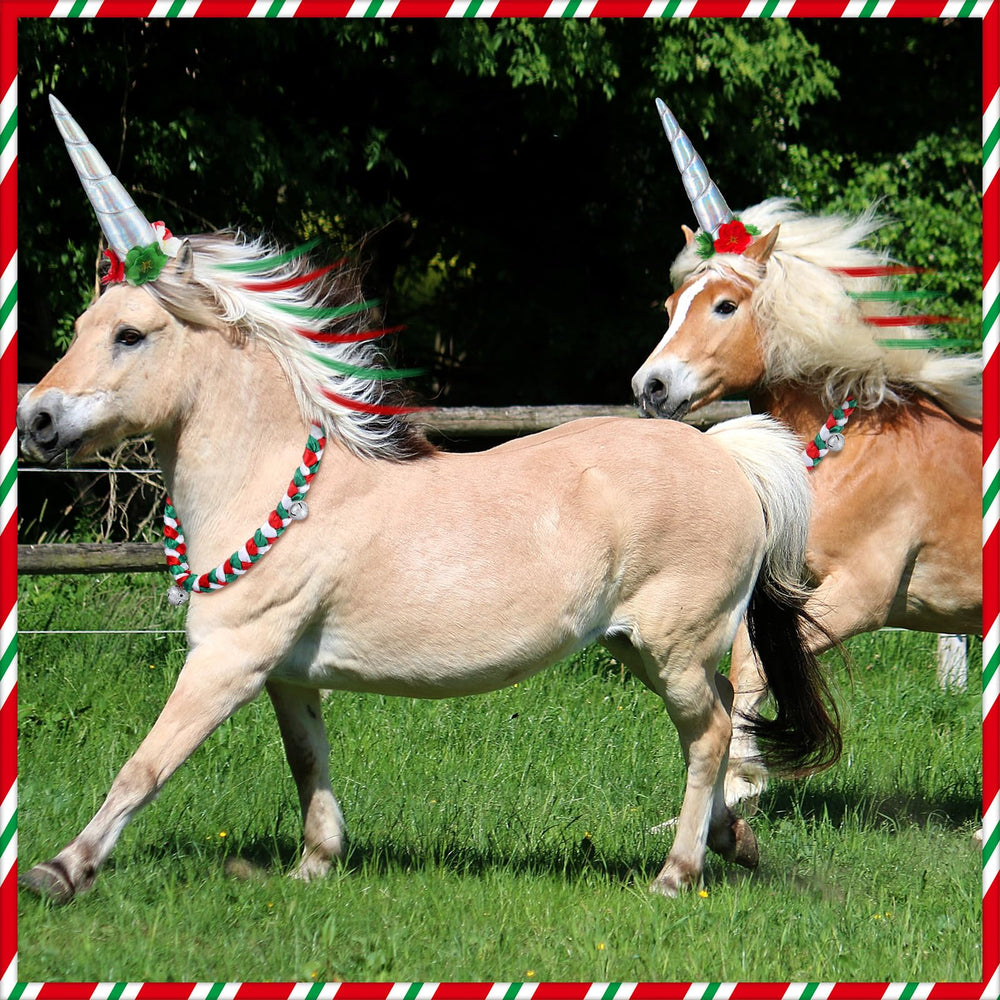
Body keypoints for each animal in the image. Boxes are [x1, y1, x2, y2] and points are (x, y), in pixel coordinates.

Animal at [632, 196, 982, 808]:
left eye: (725, 305)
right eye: (672, 305)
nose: (650, 388)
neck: (854, 449)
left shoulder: (861, 595)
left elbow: (754, 668)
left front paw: (740, 783)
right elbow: (748, 662)